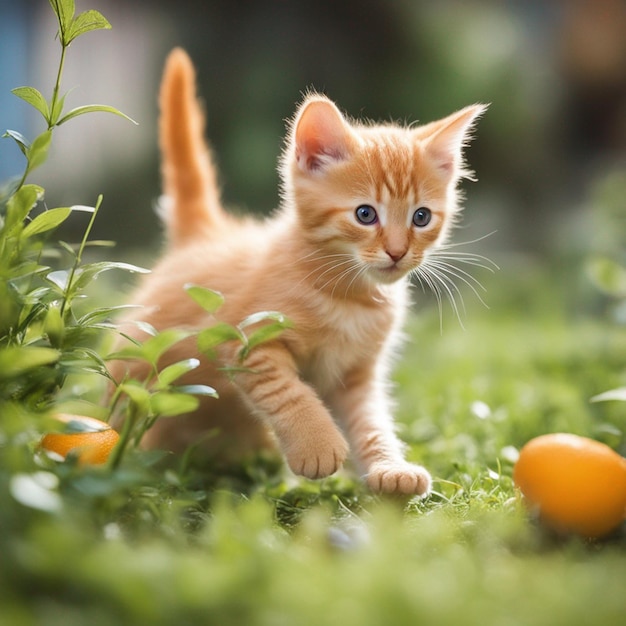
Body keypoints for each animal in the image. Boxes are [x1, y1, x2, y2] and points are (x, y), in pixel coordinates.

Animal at [109, 48, 486, 494]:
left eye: (421, 217)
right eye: (365, 214)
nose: (397, 252)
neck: (350, 296)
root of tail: (205, 235)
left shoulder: (355, 375)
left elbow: (371, 420)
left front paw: (389, 467)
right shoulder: (242, 339)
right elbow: (286, 388)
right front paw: (316, 444)